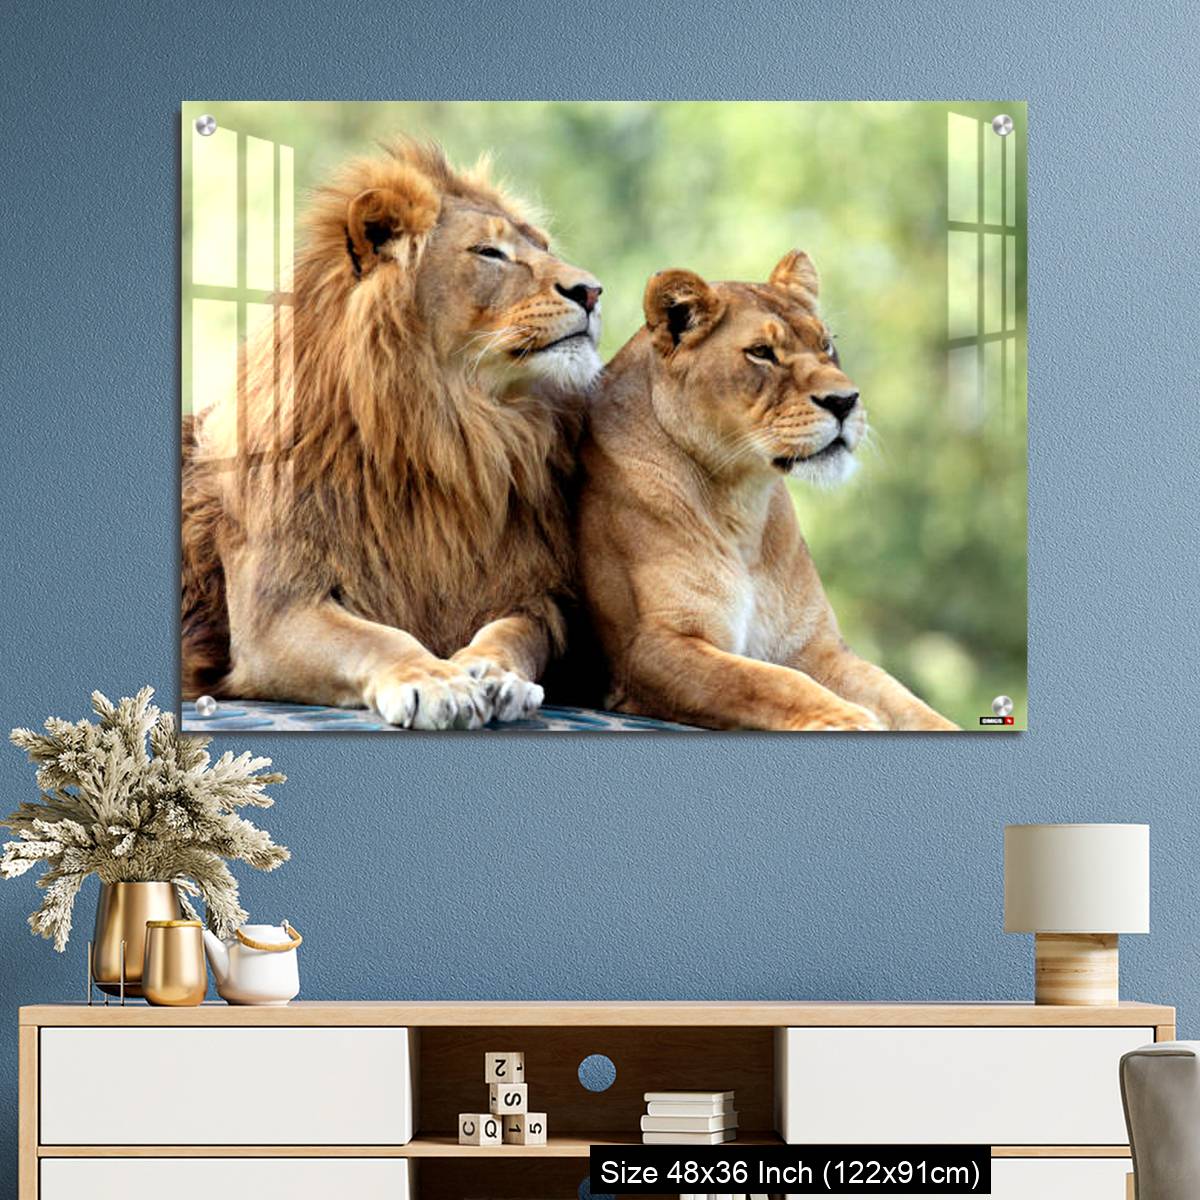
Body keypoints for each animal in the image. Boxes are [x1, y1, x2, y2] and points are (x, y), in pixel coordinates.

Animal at [182, 141, 604, 728]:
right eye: (489, 253)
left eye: (542, 246)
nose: (592, 291)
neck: (453, 434)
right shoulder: (274, 612)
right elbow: (377, 638)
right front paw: (434, 680)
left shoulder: (534, 595)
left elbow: (514, 634)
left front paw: (495, 673)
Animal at [577, 250, 958, 731]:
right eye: (761, 353)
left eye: (826, 345)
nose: (845, 401)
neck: (741, 502)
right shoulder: (649, 648)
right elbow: (768, 681)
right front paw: (848, 718)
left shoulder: (814, 646)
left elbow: (901, 697)